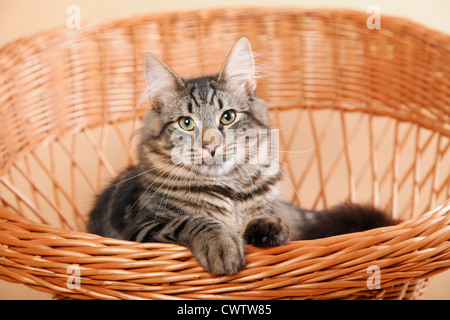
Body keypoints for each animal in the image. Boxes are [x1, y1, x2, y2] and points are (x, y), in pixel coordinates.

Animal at [88, 37, 398, 276]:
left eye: (228, 117)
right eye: (186, 123)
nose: (211, 144)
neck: (229, 192)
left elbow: (266, 217)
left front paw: (268, 228)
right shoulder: (139, 233)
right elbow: (194, 221)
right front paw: (221, 245)